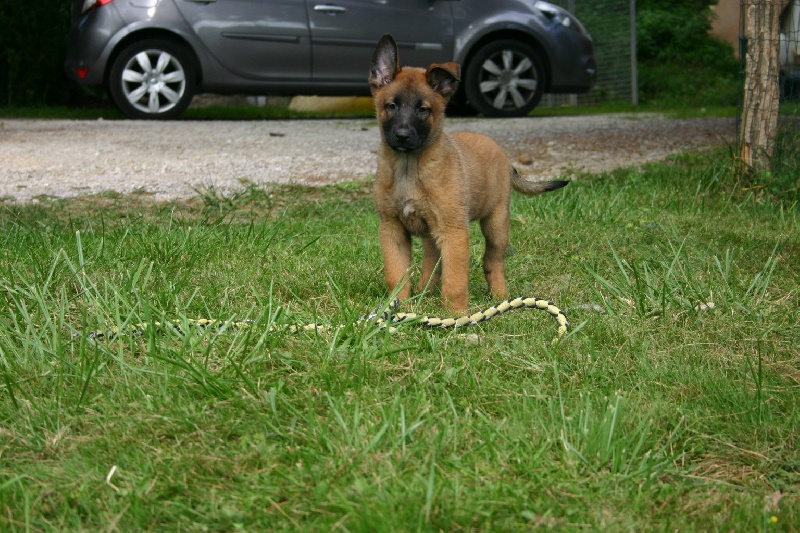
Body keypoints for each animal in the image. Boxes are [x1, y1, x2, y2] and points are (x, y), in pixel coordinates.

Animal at [369, 34, 568, 314]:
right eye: (392, 106)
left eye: (423, 110)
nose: (403, 135)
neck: (410, 167)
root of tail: (499, 150)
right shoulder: (392, 229)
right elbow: (397, 274)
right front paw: (397, 306)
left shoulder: (454, 232)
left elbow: (455, 279)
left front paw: (456, 315)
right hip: (434, 232)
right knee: (432, 260)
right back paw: (424, 293)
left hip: (496, 223)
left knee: (493, 261)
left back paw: (499, 295)